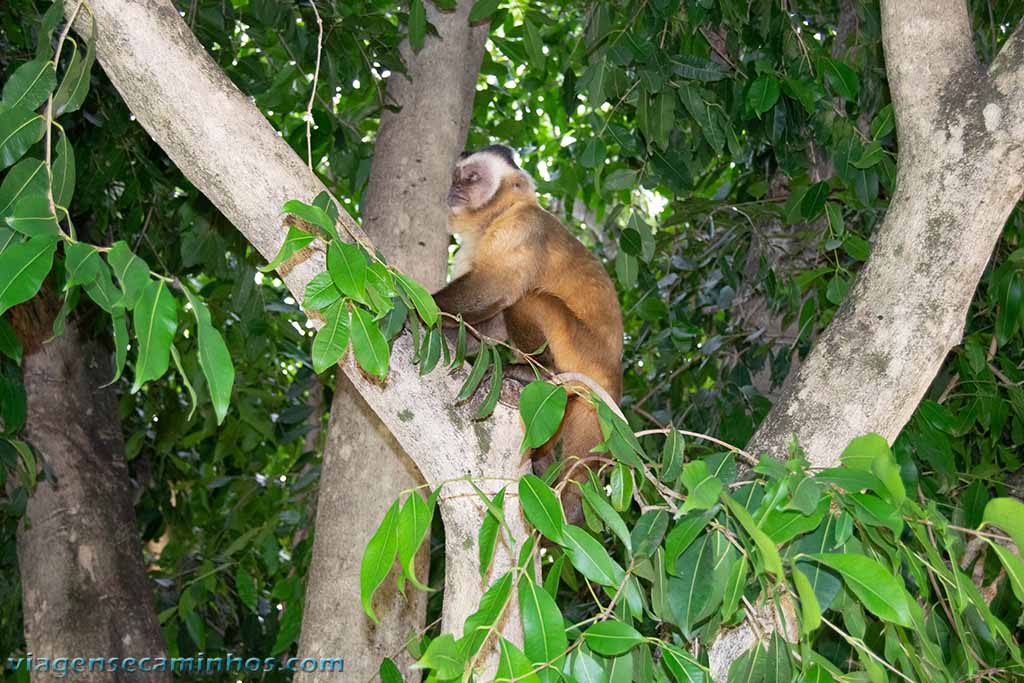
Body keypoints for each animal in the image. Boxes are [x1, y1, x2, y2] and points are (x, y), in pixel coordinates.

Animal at [432, 143, 622, 518]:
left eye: (471, 177)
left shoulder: (522, 228)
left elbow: (496, 287)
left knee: (528, 298)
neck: (497, 217)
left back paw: (536, 371)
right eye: (457, 176)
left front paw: (411, 306)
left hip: (582, 351)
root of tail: (613, 378)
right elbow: (490, 322)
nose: (454, 188)